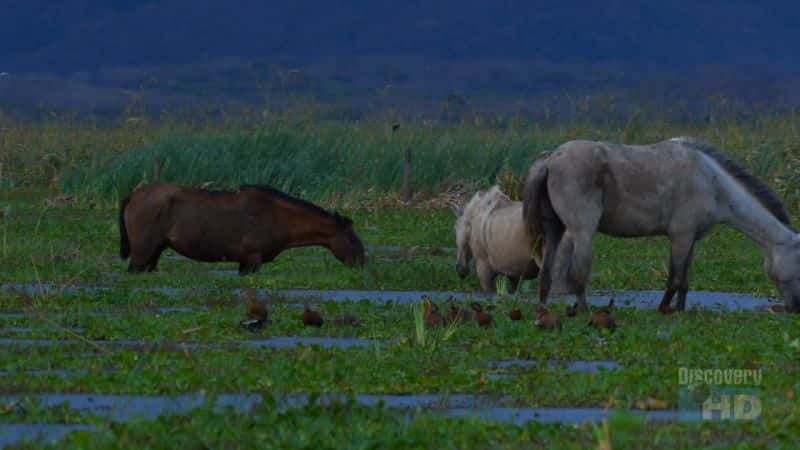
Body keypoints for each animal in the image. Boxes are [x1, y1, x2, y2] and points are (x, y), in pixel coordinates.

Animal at [118, 182, 366, 274]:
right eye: (353, 239)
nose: (363, 262)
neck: (279, 216)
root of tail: (133, 195)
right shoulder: (251, 260)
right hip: (141, 254)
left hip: (153, 254)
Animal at [520, 137, 796, 312]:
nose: (796, 308)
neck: (711, 182)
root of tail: (551, 158)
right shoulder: (680, 237)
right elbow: (674, 277)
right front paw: (664, 308)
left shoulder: (691, 239)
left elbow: (685, 280)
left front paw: (680, 310)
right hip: (581, 232)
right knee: (577, 274)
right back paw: (585, 311)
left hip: (554, 229)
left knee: (546, 272)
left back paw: (543, 308)